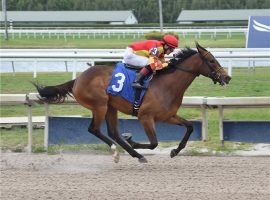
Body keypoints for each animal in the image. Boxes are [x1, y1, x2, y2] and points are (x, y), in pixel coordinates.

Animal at [32, 42, 231, 162]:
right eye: (212, 60)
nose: (227, 77)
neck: (167, 85)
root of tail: (77, 80)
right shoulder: (145, 117)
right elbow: (154, 143)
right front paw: (134, 141)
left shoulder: (168, 116)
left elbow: (189, 127)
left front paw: (175, 151)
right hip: (99, 105)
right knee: (94, 129)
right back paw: (118, 152)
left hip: (111, 107)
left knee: (113, 132)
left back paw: (135, 154)